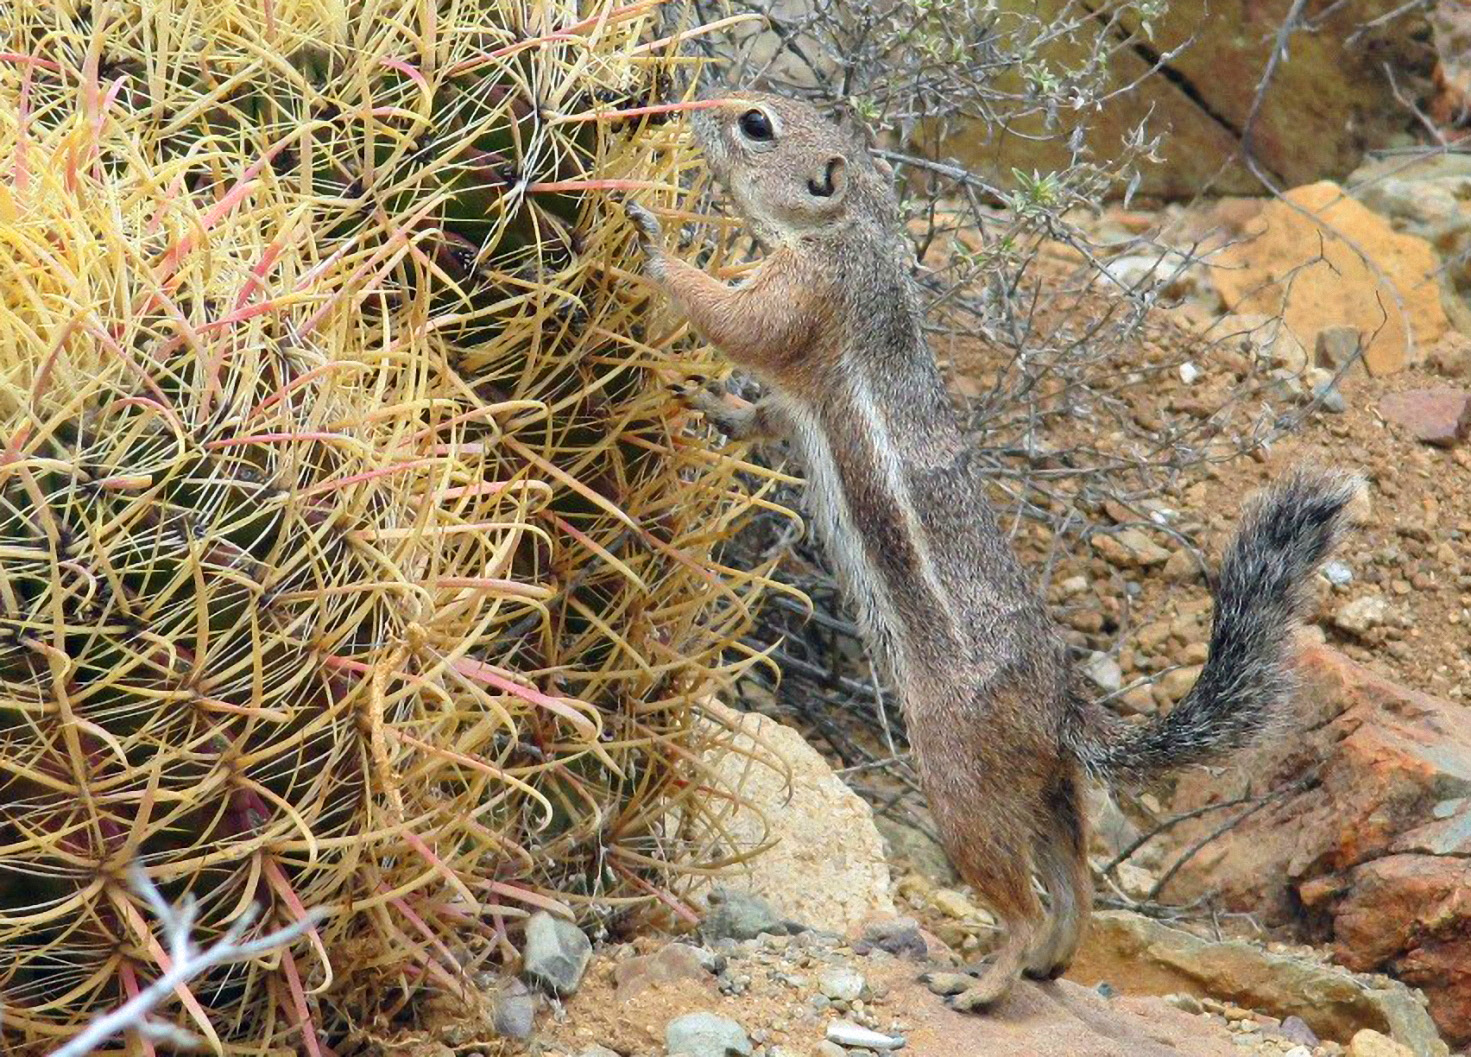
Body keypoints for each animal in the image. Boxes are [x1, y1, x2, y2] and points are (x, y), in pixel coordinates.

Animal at [620, 94, 1353, 1011]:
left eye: (756, 124)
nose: (696, 104)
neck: (856, 232)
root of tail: (1062, 710)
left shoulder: (803, 296)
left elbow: (732, 318)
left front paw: (652, 239)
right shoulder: (790, 395)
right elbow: (756, 412)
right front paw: (708, 400)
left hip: (957, 780)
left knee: (1021, 900)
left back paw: (982, 981)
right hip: (1047, 789)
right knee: (1074, 879)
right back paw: (1048, 961)